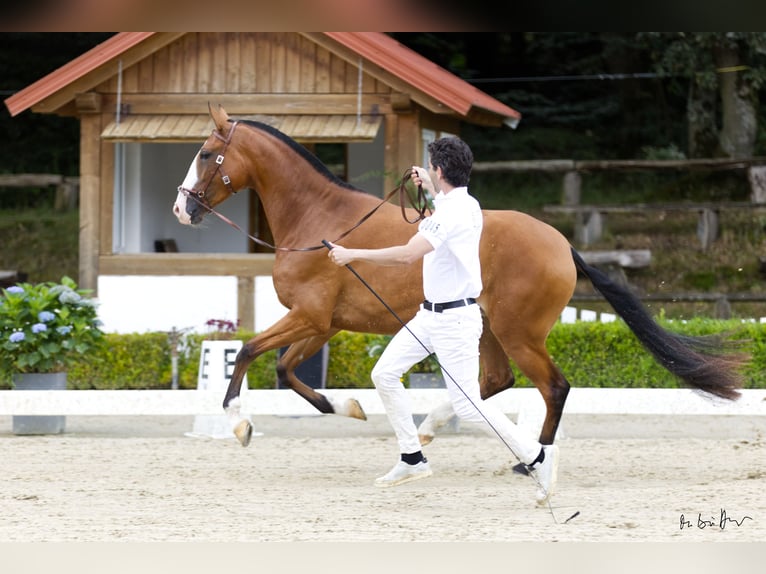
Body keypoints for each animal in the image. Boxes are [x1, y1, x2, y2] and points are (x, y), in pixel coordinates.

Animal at [174, 106, 744, 452]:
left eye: (204, 154)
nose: (182, 209)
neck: (321, 223)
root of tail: (563, 245)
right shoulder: (322, 323)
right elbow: (286, 370)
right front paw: (348, 407)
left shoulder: (309, 317)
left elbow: (250, 353)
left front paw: (239, 422)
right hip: (489, 329)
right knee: (493, 382)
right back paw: (432, 428)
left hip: (518, 333)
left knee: (553, 387)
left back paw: (531, 457)